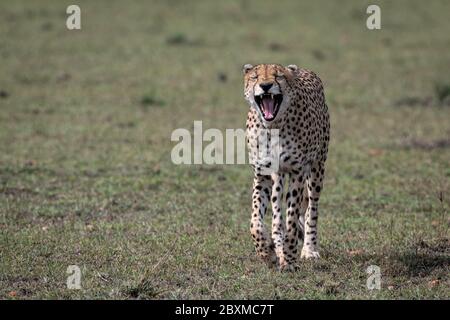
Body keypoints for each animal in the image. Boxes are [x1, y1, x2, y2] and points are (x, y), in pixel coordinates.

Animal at [243, 63, 330, 272]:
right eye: (255, 77)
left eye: (278, 76)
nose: (266, 86)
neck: (272, 126)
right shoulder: (262, 174)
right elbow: (255, 221)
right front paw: (267, 252)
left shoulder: (297, 172)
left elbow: (292, 219)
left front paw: (290, 260)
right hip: (278, 178)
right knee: (276, 216)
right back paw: (277, 245)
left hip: (317, 169)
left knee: (311, 210)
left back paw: (309, 249)